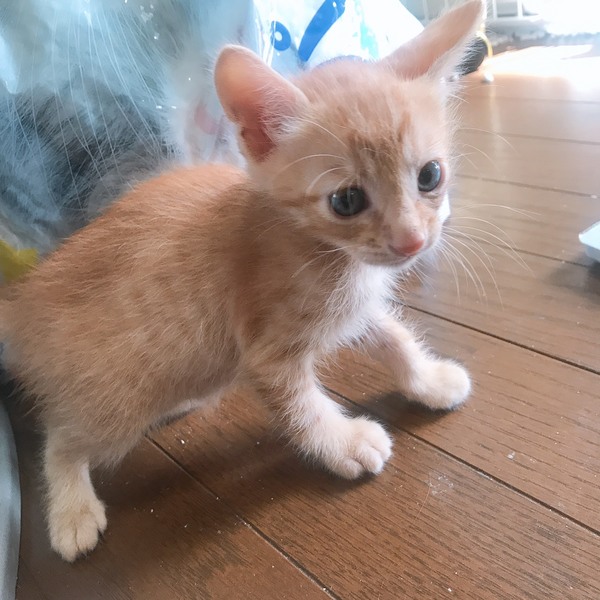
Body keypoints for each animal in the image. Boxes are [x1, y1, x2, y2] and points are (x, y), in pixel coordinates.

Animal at [0, 0, 484, 562]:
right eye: (346, 201)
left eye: (430, 176)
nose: (412, 242)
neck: (321, 248)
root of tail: (22, 299)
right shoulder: (267, 352)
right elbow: (302, 408)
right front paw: (343, 442)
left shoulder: (353, 307)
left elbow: (393, 338)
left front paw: (427, 380)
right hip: (119, 397)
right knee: (60, 437)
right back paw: (71, 510)